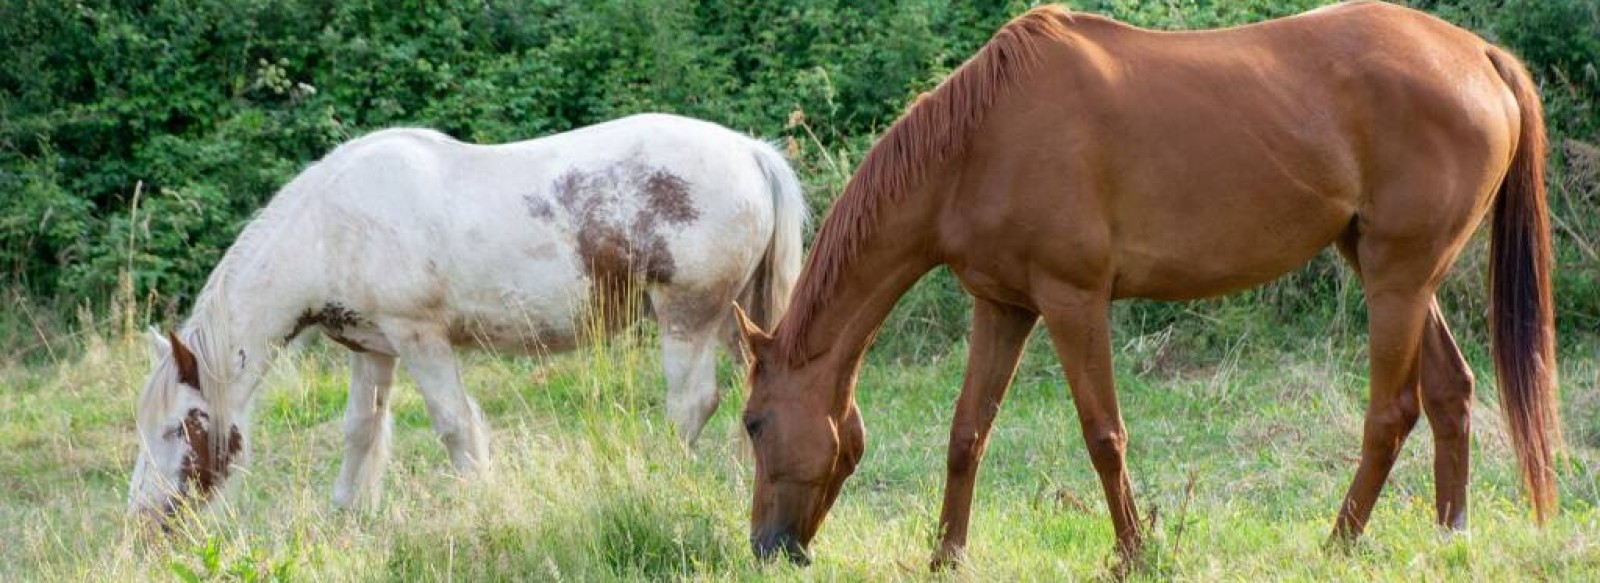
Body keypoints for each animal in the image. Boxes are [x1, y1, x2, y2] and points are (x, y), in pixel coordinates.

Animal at [126, 113, 806, 518]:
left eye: (178, 428)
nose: (143, 520)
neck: (331, 228)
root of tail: (750, 151)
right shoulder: (375, 348)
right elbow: (361, 431)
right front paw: (346, 515)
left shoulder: (420, 338)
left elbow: (454, 425)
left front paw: (480, 501)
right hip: (735, 317)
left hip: (687, 315)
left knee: (691, 403)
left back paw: (657, 474)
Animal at [736, 1, 1561, 570]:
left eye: (752, 423)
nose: (769, 548)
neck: (978, 144)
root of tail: (1479, 56)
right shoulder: (1002, 306)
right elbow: (967, 432)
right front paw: (946, 556)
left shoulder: (1073, 300)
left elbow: (1104, 434)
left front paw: (1133, 552)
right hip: (1395, 271)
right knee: (1451, 391)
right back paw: (1449, 537)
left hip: (1397, 278)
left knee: (1391, 413)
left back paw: (1339, 541)